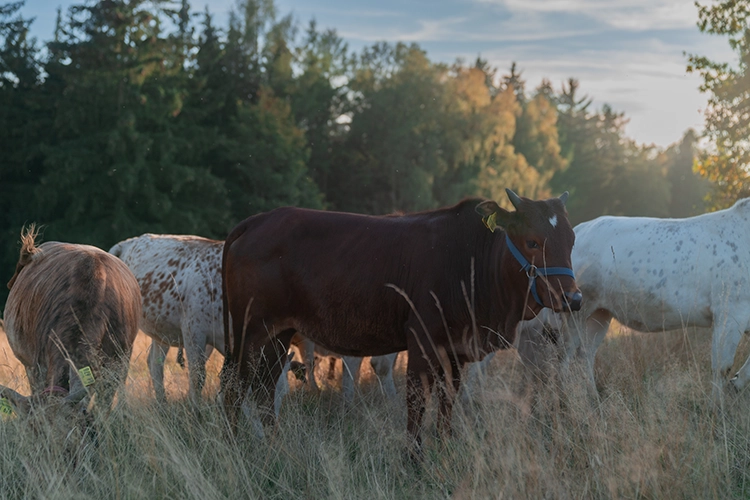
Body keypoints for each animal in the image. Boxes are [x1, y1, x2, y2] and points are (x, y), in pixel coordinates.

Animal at [220, 188, 584, 454]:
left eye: (571, 241)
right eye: (532, 241)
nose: (573, 298)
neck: (469, 259)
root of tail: (259, 220)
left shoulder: (455, 350)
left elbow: (447, 400)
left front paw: (445, 447)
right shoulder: (422, 340)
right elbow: (417, 401)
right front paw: (413, 459)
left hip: (279, 333)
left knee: (265, 388)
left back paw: (273, 446)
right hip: (248, 331)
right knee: (233, 386)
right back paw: (232, 447)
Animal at [548, 197, 750, 400]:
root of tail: (582, 228)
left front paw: (734, 387)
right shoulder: (730, 312)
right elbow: (722, 366)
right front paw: (716, 405)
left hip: (600, 313)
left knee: (585, 354)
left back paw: (594, 398)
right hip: (575, 311)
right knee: (564, 355)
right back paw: (564, 399)